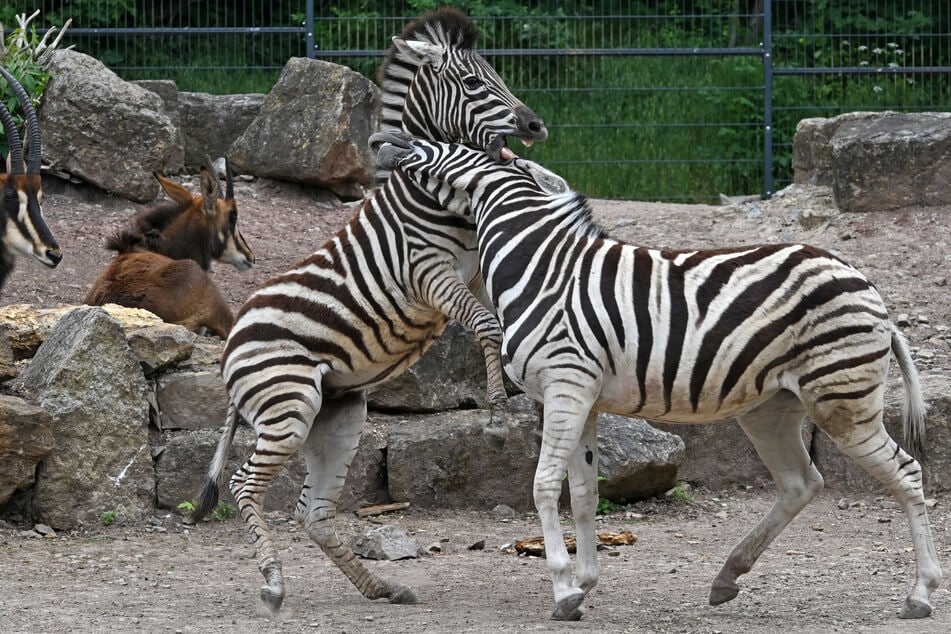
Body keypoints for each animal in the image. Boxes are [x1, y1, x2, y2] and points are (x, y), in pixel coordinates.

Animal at [192, 6, 552, 612]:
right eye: (473, 83)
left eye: (498, 75)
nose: (535, 127)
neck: (432, 192)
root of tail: (232, 340)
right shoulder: (428, 273)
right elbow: (487, 325)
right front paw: (499, 418)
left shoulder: (475, 272)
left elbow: (503, 322)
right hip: (288, 406)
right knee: (245, 486)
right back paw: (273, 582)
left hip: (336, 415)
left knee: (312, 513)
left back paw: (380, 587)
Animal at [374, 131, 944, 620]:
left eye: (444, 144)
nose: (383, 140)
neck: (539, 266)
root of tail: (865, 283)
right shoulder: (582, 399)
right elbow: (584, 494)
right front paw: (584, 585)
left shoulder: (565, 386)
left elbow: (543, 485)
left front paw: (562, 589)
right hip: (771, 408)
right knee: (801, 483)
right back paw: (727, 576)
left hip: (842, 399)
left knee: (907, 473)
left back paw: (920, 593)